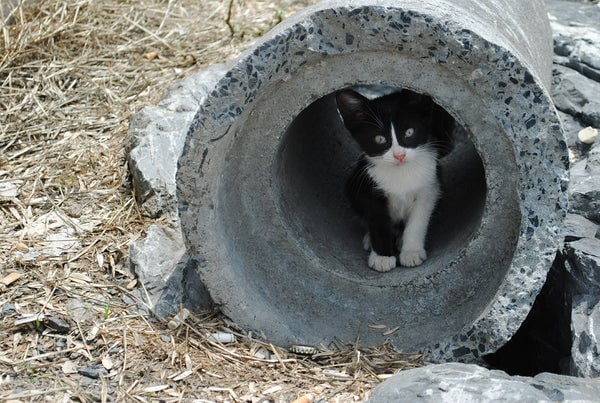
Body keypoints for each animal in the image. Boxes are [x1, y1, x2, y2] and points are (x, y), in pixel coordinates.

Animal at [336, 88, 452, 272]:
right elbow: (377, 221)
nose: (399, 155)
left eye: (409, 132)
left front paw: (411, 252)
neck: (401, 173)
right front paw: (382, 257)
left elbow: (418, 221)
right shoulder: (368, 188)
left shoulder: (430, 187)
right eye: (379, 139)